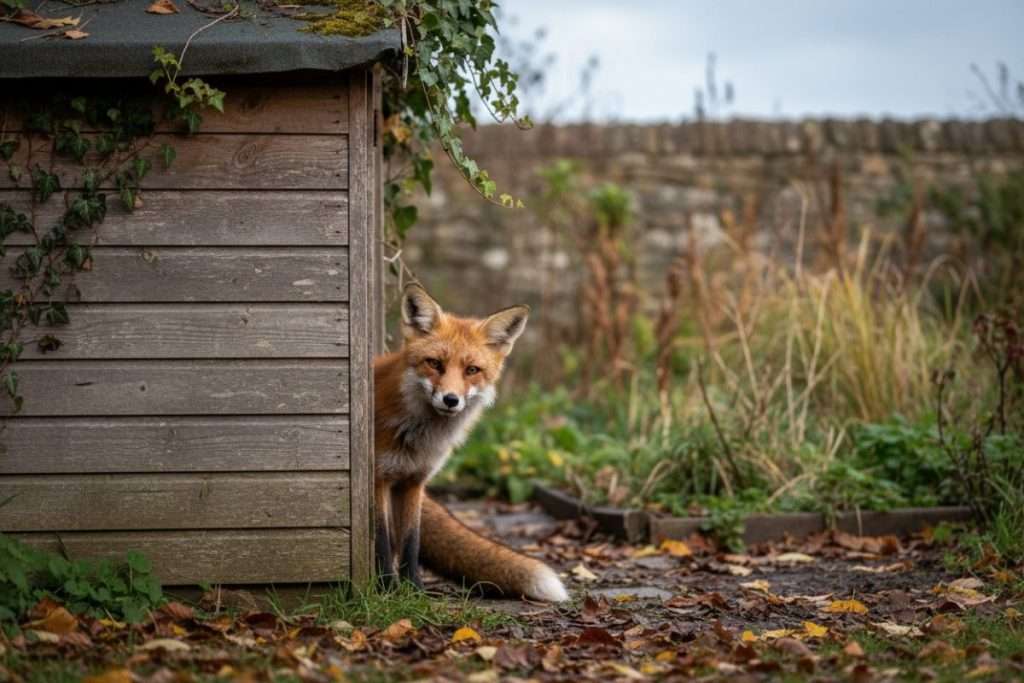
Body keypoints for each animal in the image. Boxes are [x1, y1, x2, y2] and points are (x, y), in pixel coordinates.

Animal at [372, 283, 569, 603]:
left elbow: (411, 541)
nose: (451, 400)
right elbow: (381, 540)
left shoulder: (414, 481)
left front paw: (414, 592)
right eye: (434, 363)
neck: (417, 438)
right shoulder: (379, 479)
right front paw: (385, 590)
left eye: (472, 370)